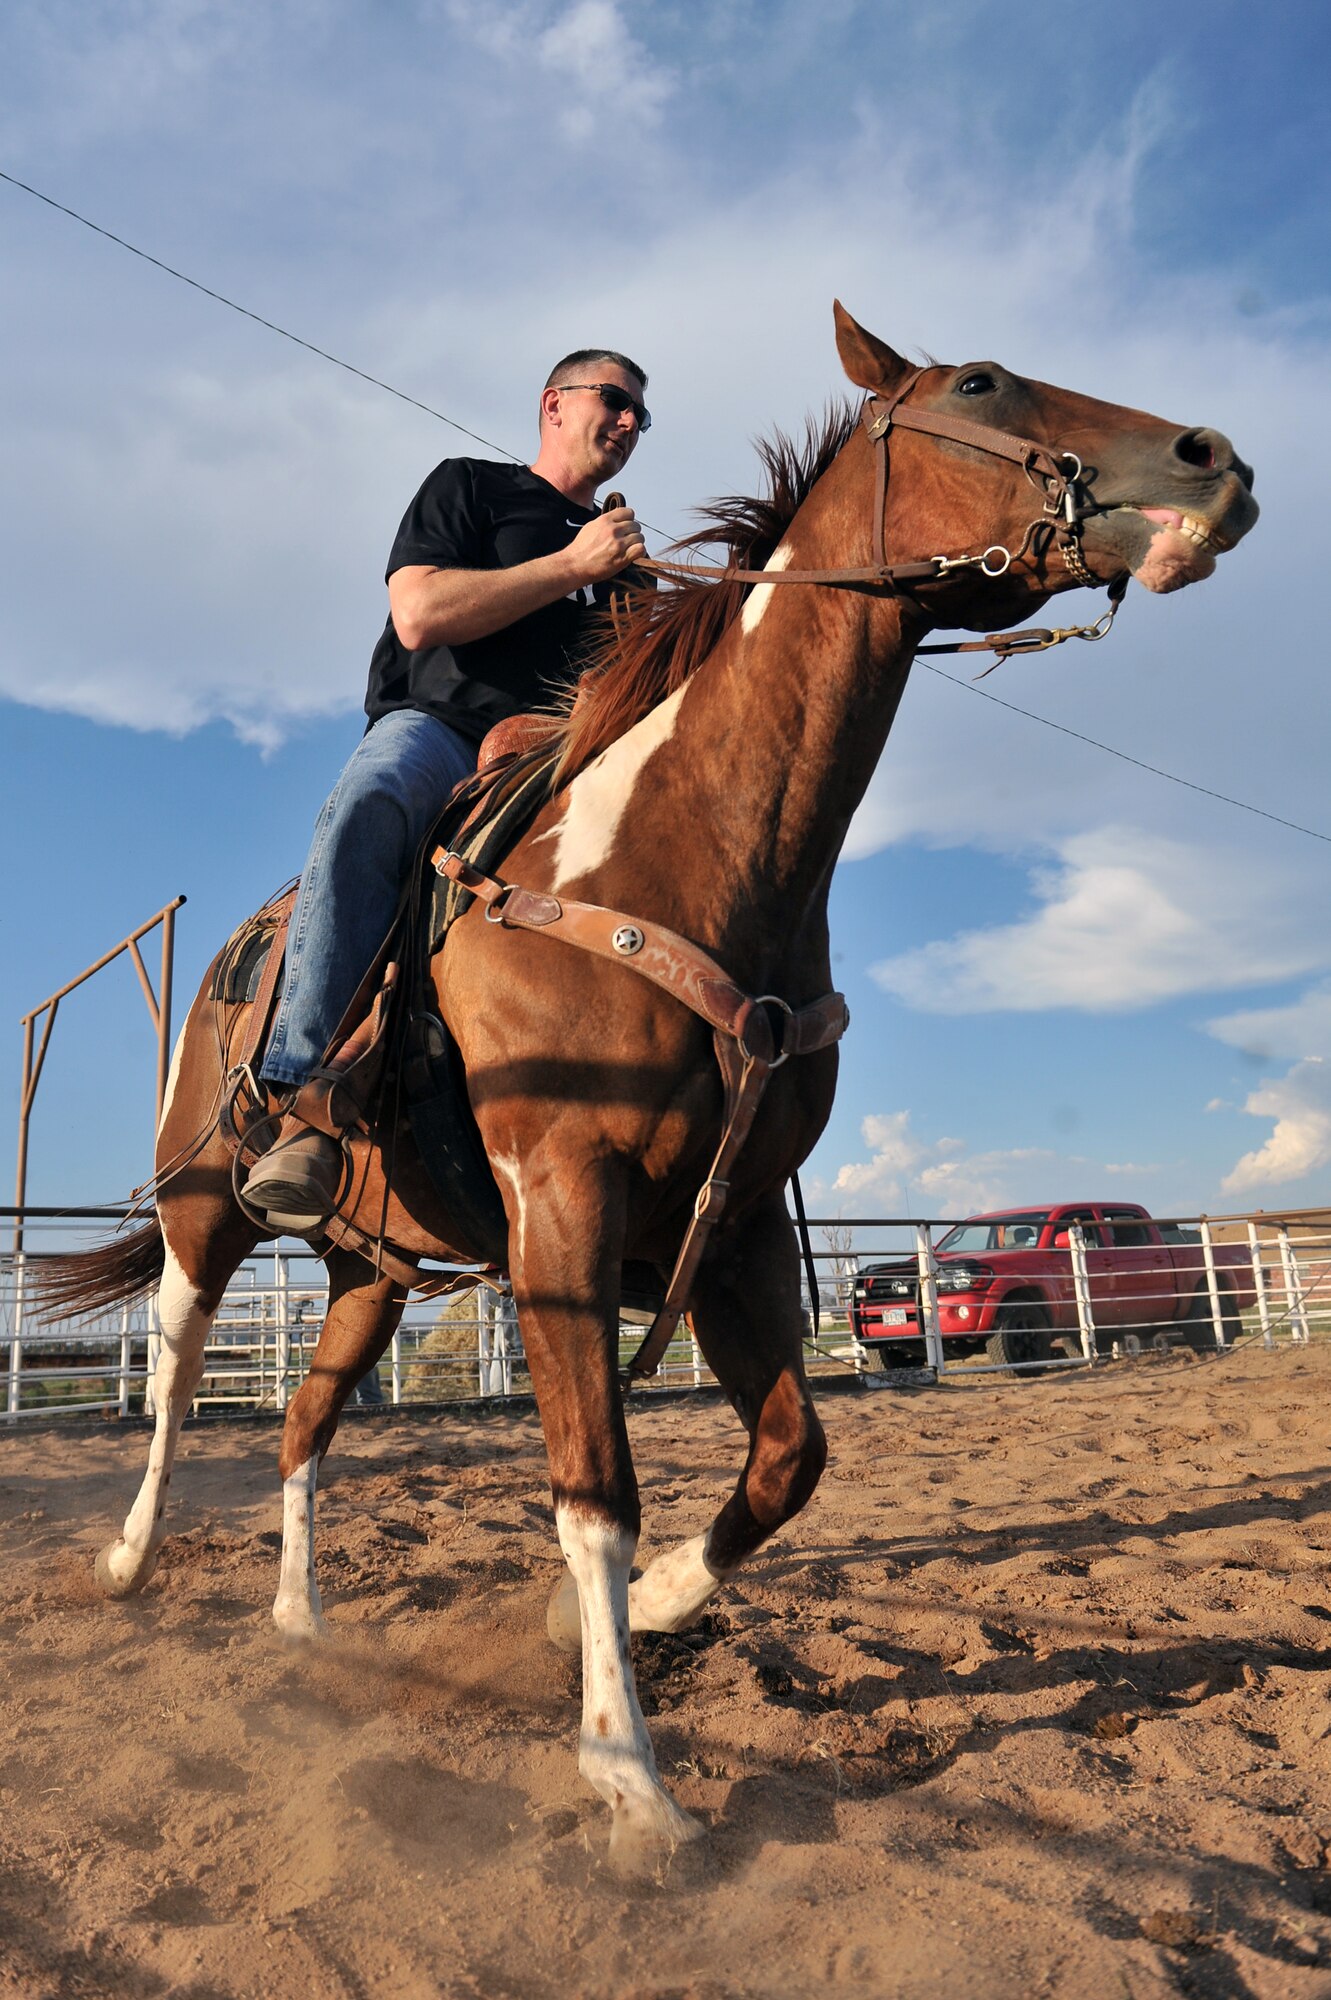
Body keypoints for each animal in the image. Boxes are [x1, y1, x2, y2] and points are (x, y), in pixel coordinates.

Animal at [40, 304, 1257, 1868]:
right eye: (981, 383)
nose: (1213, 459)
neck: (678, 852)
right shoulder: (562, 1198)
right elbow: (594, 1493)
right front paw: (628, 1773)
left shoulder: (729, 1226)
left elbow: (789, 1458)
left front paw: (644, 1609)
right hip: (209, 1205)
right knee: (184, 1371)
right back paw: (131, 1558)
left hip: (375, 1269)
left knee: (303, 1423)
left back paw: (302, 1617)